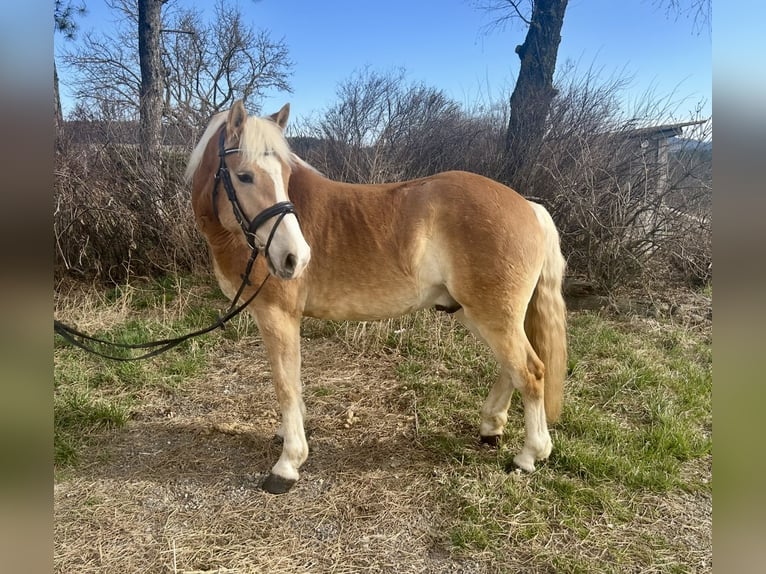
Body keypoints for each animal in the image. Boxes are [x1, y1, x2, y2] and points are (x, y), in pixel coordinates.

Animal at [186, 99, 568, 496]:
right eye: (244, 176)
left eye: (285, 175)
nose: (296, 258)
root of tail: (529, 206)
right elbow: (294, 381)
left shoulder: (278, 315)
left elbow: (285, 384)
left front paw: (288, 463)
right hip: (479, 314)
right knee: (512, 368)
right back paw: (491, 427)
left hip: (493, 316)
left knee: (530, 371)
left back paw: (530, 454)